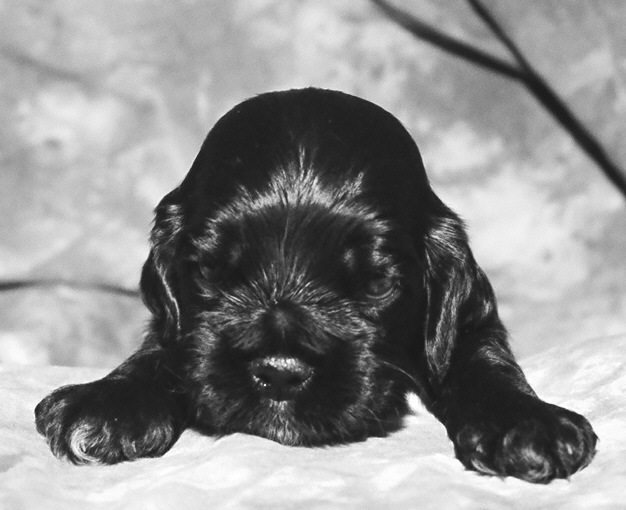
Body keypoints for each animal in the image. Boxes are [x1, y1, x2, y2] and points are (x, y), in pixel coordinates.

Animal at [35, 88, 596, 483]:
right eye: (210, 271)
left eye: (377, 283)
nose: (279, 374)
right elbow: (163, 347)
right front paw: (108, 401)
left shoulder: (469, 317)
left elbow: (482, 359)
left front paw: (525, 424)